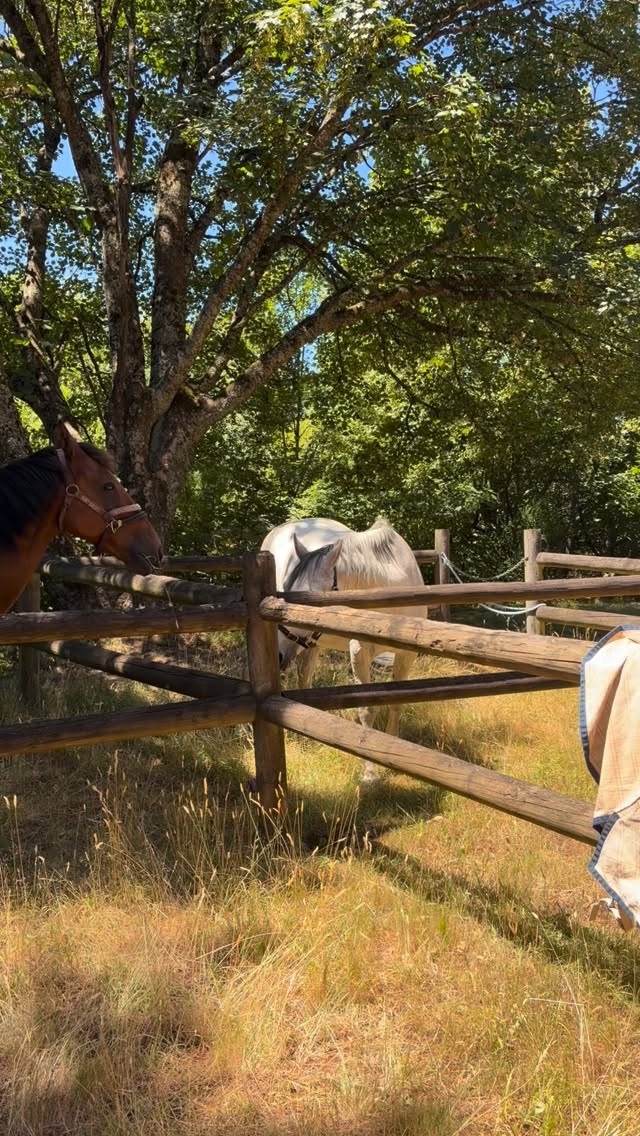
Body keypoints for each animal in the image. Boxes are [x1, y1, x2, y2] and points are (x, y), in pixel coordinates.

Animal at [261, 517, 427, 781]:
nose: (276, 654)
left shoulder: (406, 655)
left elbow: (397, 702)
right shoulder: (360, 652)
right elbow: (367, 710)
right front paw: (370, 771)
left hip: (311, 645)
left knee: (304, 677)